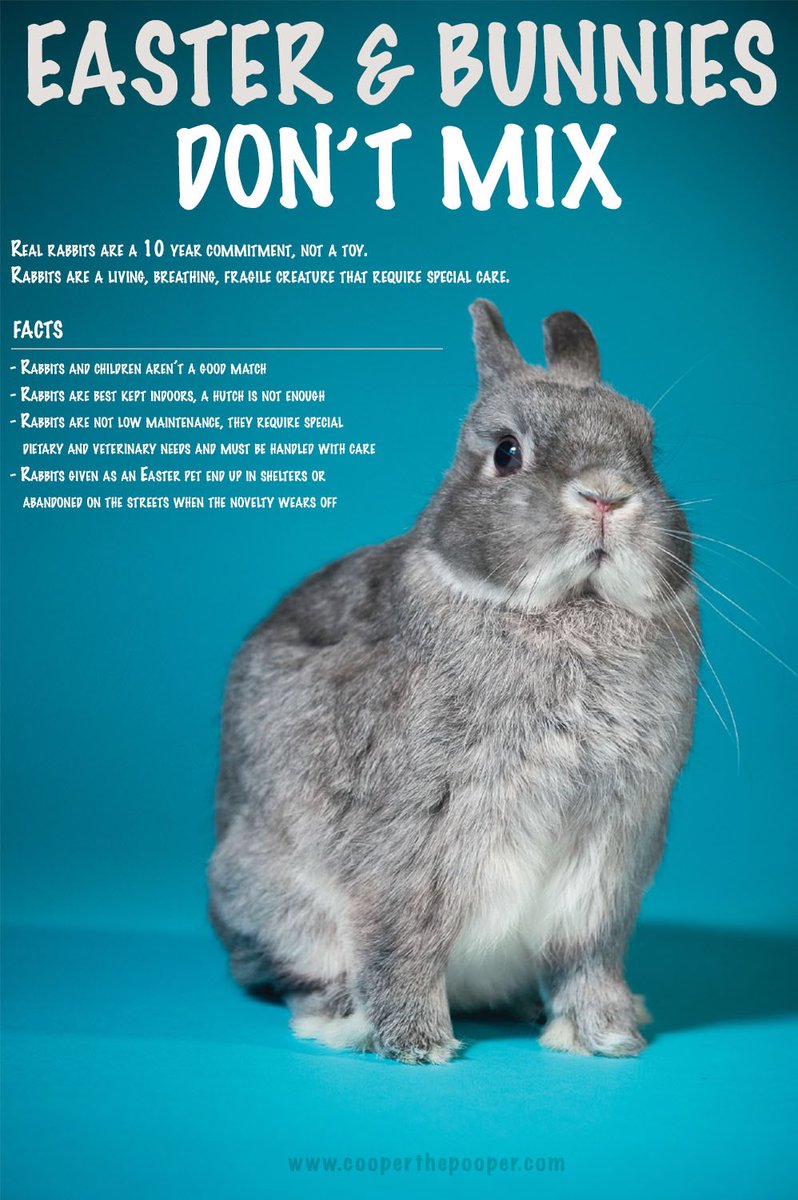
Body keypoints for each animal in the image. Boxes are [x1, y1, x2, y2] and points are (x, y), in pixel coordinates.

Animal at [209, 301, 698, 1064]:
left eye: (648, 449)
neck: (563, 610)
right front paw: (420, 1047)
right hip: (271, 892)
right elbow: (400, 945)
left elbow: (587, 957)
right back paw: (339, 1018)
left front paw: (610, 1036)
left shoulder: (611, 857)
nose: (606, 496)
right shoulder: (409, 844)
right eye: (506, 453)